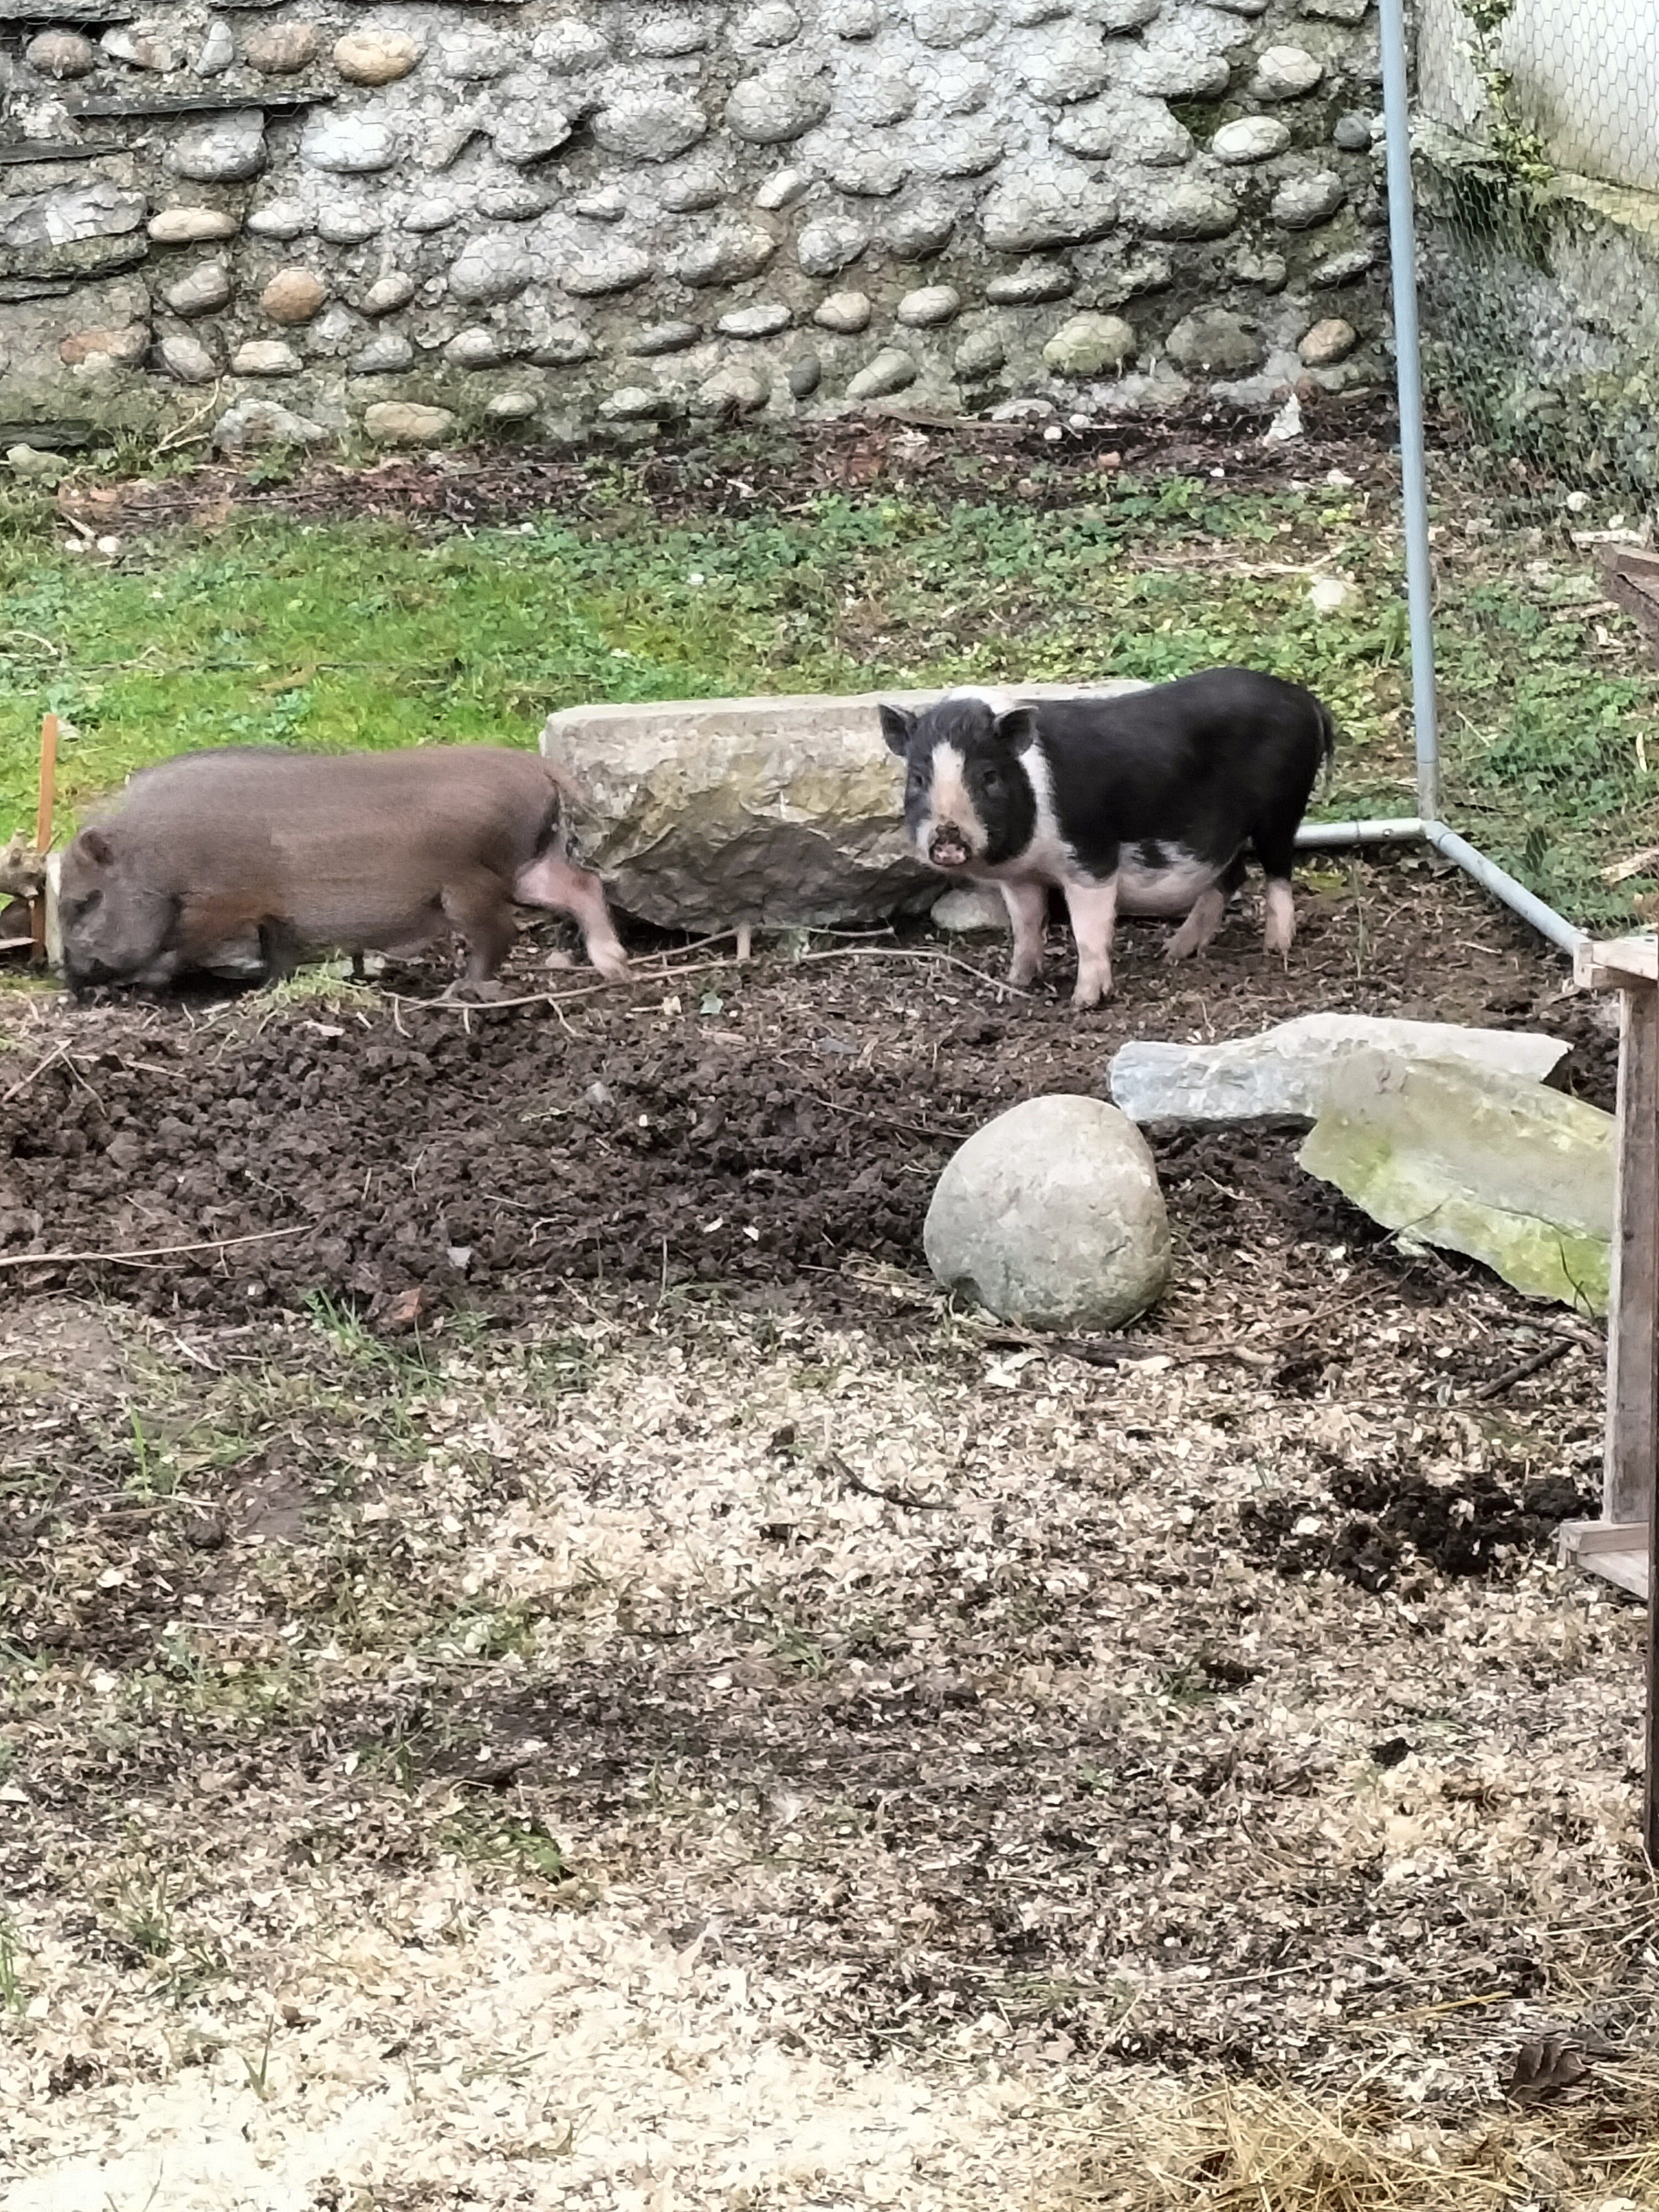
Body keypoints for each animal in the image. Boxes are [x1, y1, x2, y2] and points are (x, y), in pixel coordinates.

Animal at [59, 743, 628, 995]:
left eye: (83, 903)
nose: (73, 980)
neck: (155, 854)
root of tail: (536, 766)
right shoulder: (273, 912)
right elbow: (279, 955)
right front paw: (264, 993)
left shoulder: (221, 901)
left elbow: (179, 945)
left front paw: (145, 983)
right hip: (528, 864)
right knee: (582, 884)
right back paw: (614, 968)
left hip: (469, 883)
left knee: (500, 934)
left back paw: (457, 993)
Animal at [885, 668, 1336, 1009]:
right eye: (918, 779)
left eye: (989, 776)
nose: (947, 838)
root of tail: (1305, 699)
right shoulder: (1021, 877)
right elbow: (1026, 926)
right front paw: (1017, 983)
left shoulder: (1091, 857)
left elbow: (1088, 930)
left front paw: (1084, 1002)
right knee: (1233, 875)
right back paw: (1174, 951)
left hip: (1282, 809)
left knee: (1278, 871)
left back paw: (1275, 949)